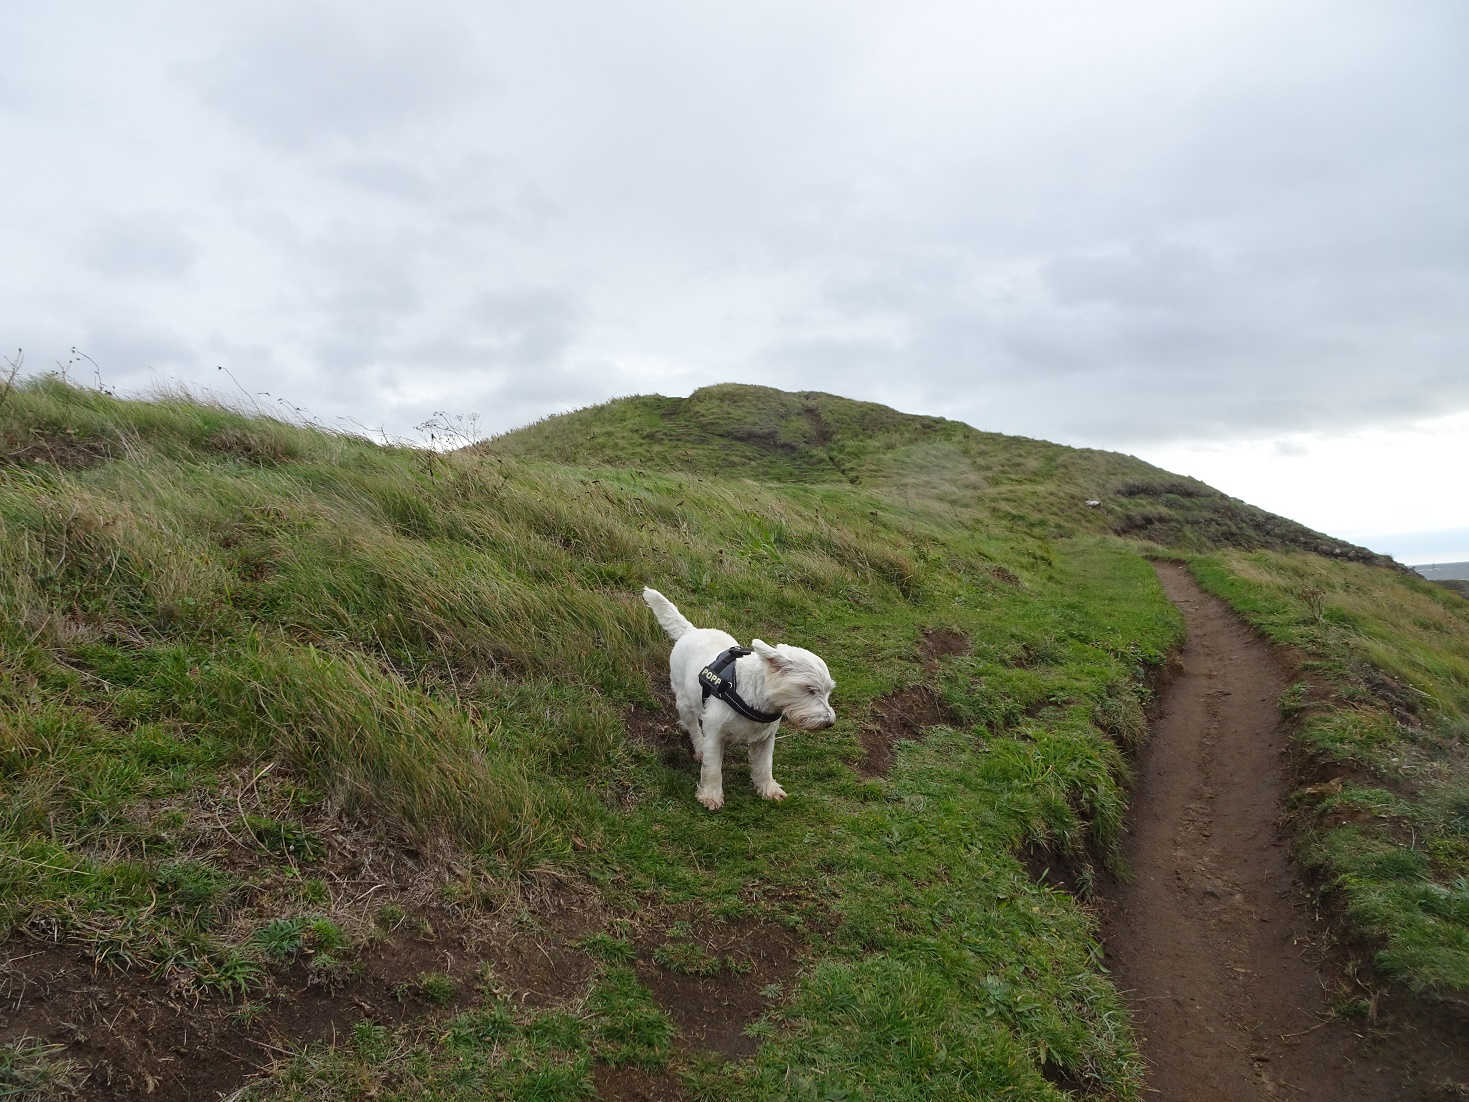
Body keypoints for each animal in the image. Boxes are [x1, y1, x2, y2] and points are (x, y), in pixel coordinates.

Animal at [646, 587, 840, 811]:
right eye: (809, 690)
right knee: (693, 726)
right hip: (684, 702)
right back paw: (699, 746)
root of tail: (690, 631)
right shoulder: (715, 735)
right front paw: (711, 795)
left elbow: (764, 766)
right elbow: (713, 768)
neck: (753, 695)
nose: (829, 722)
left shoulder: (765, 739)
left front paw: (768, 789)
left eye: (828, 692)